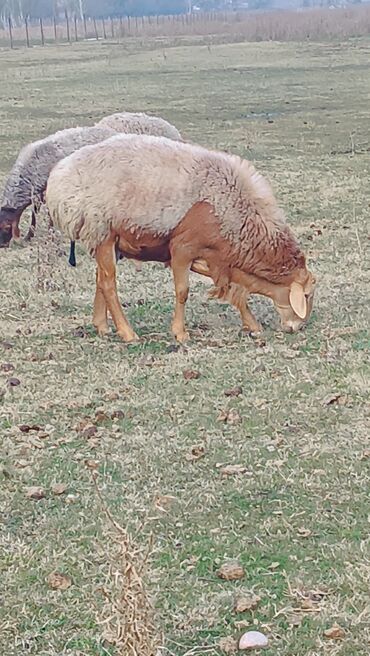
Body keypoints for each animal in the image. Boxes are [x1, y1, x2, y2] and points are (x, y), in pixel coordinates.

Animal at [46, 131, 316, 340]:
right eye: (306, 295)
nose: (298, 327)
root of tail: (59, 178)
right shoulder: (182, 247)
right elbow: (183, 292)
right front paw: (180, 333)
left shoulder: (209, 255)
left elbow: (235, 290)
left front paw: (251, 324)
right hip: (101, 231)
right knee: (108, 284)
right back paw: (127, 333)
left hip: (104, 239)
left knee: (99, 279)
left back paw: (102, 326)